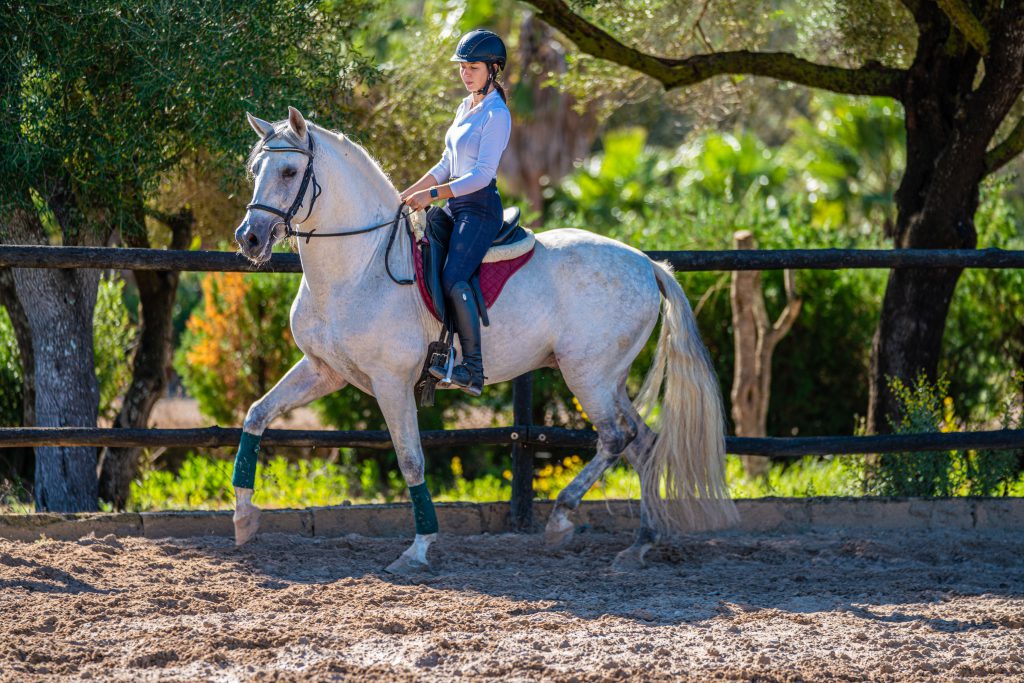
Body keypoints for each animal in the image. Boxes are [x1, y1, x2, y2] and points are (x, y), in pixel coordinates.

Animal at [231, 106, 738, 573]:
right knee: (643, 442)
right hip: (608, 380)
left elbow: (411, 460)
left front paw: (418, 549)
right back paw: (639, 544)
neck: (359, 267)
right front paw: (243, 519)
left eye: (289, 172)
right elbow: (256, 415)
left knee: (616, 437)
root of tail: (647, 264)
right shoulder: (325, 370)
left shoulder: (390, 383)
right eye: (256, 170)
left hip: (588, 377)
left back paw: (562, 518)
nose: (249, 239)